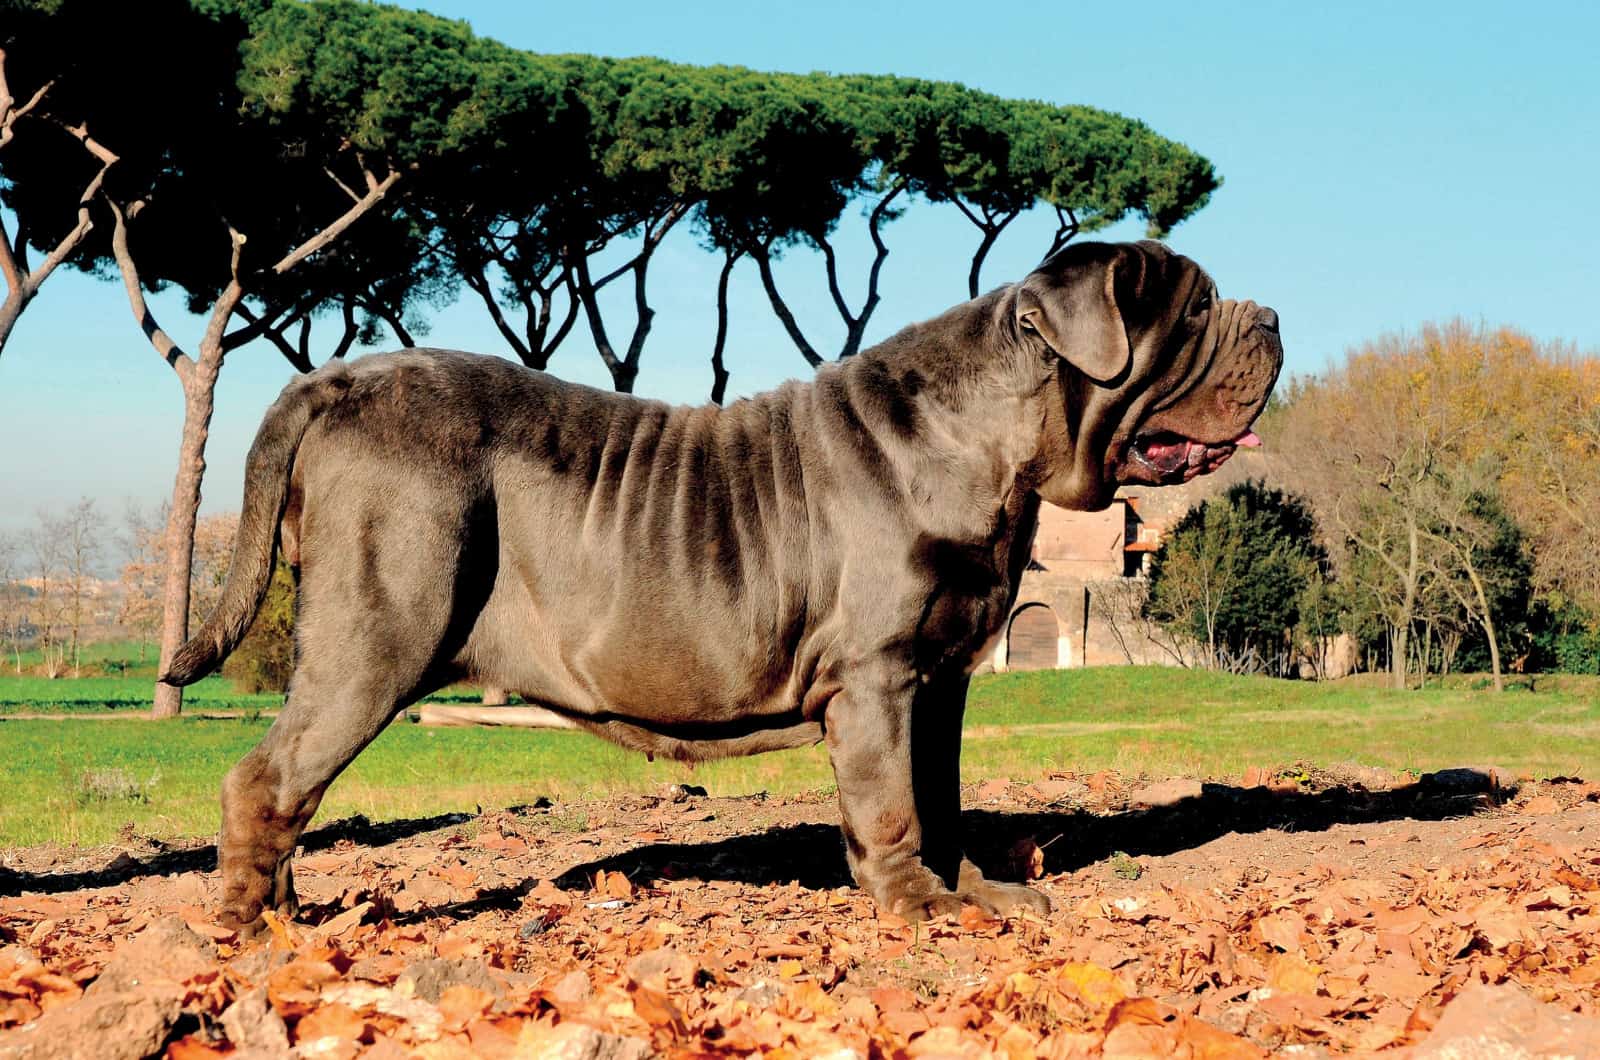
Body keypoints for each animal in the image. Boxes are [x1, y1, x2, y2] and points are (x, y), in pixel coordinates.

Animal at [168, 238, 1280, 928]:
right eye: (1193, 309)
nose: (1269, 314)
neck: (994, 434)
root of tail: (336, 377)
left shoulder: (942, 681)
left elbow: (941, 794)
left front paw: (974, 892)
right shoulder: (878, 677)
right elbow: (893, 802)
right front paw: (918, 908)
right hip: (378, 635)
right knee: (267, 778)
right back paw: (258, 932)